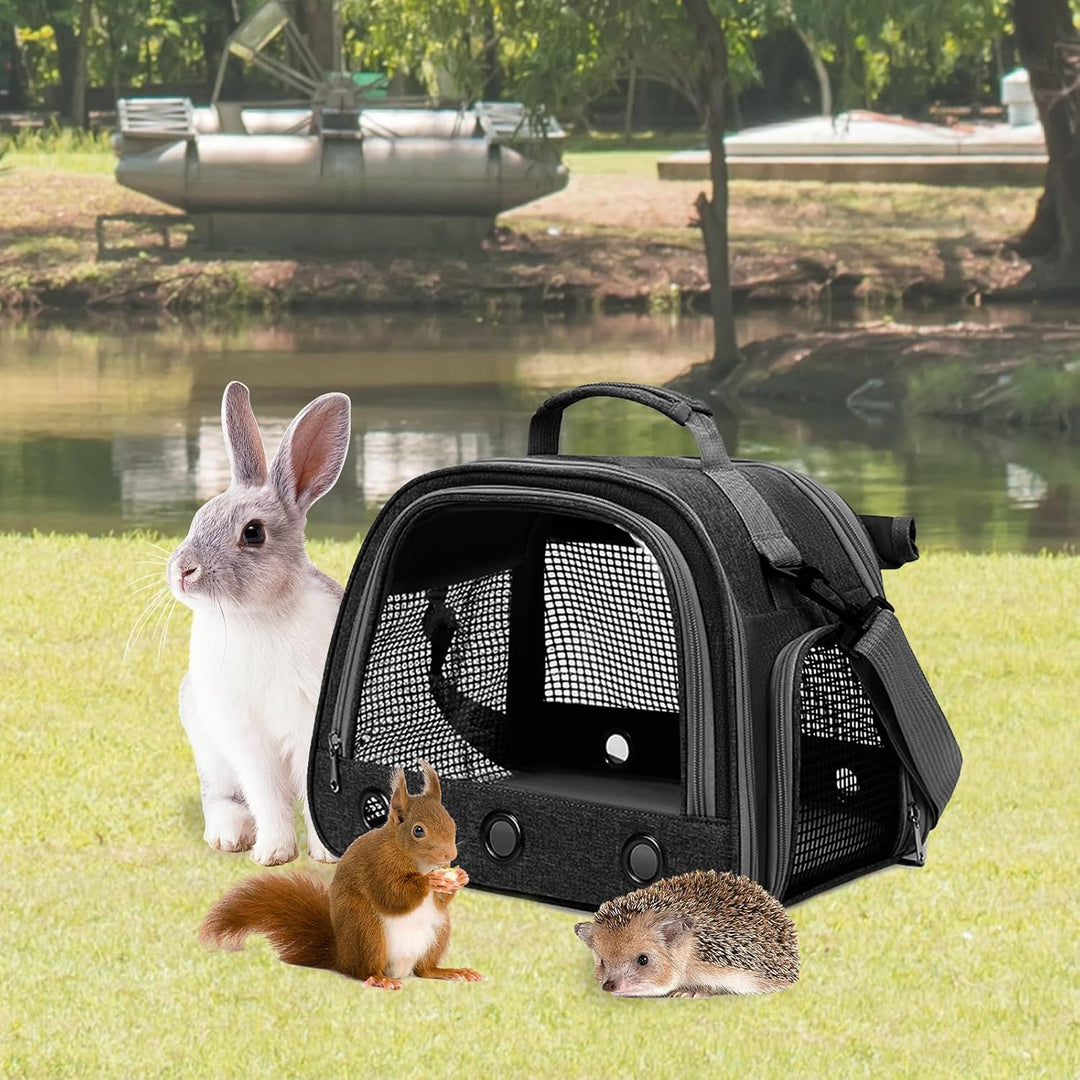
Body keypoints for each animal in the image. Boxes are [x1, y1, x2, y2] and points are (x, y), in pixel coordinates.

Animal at [167, 381, 351, 866]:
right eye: (198, 517)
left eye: (253, 533)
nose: (182, 571)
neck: (257, 616)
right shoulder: (245, 736)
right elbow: (266, 795)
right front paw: (272, 854)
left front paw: (325, 856)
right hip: (208, 747)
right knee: (221, 796)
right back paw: (229, 835)